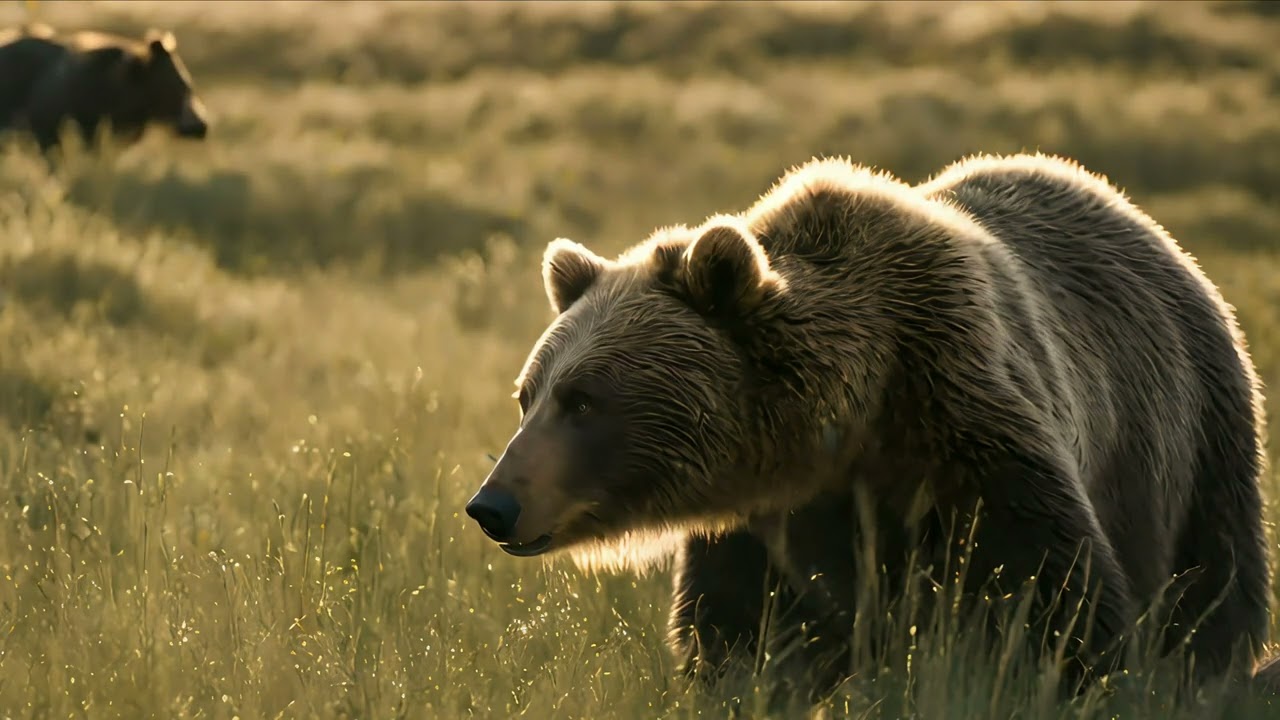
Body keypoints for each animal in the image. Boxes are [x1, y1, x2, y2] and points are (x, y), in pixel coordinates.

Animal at [464, 152, 1272, 709]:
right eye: (528, 396)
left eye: (584, 401)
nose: (492, 505)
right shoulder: (768, 528)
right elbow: (744, 642)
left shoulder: (965, 430)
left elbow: (1051, 602)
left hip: (1191, 441)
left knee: (1210, 595)